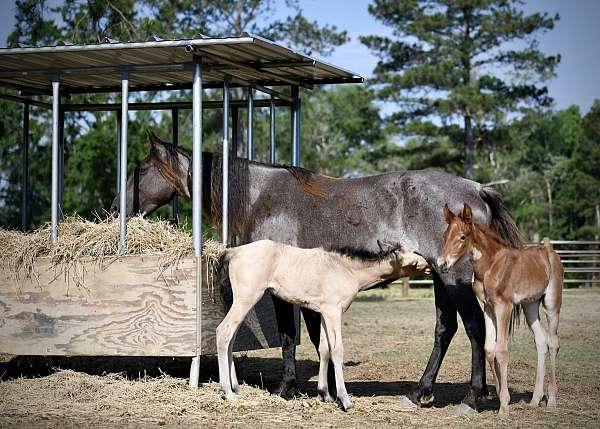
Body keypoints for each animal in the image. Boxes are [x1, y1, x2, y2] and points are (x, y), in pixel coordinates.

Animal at [436, 202, 564, 412]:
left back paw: (551, 400)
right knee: (541, 340)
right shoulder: (489, 307)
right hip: (530, 305)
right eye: (445, 236)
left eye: (463, 236)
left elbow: (502, 351)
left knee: (553, 343)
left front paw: (504, 405)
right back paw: (535, 399)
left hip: (552, 303)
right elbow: (489, 349)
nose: (442, 264)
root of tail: (549, 249)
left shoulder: (504, 307)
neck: (490, 265)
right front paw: (498, 395)